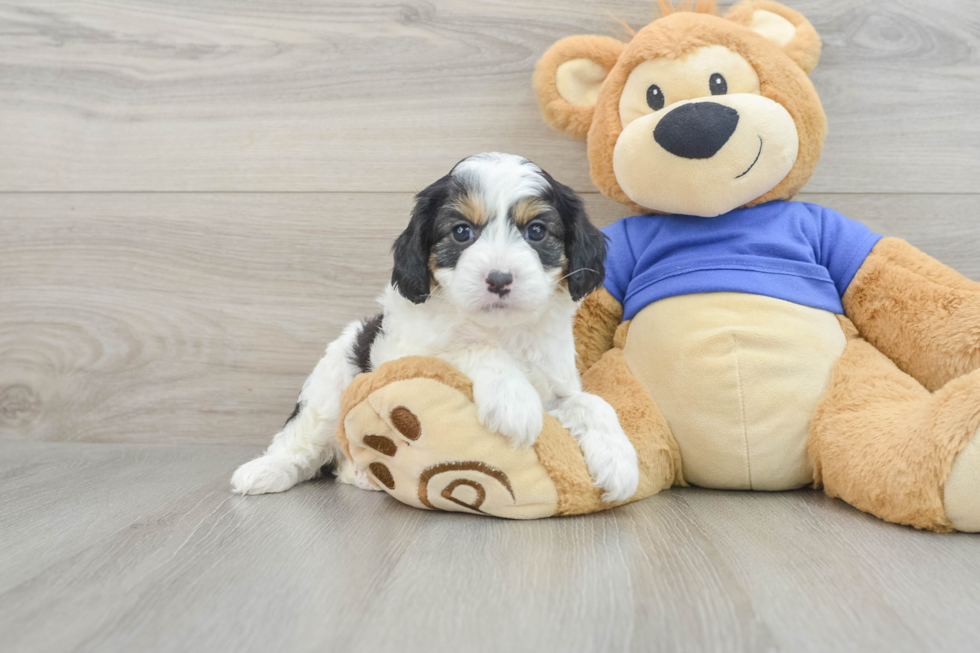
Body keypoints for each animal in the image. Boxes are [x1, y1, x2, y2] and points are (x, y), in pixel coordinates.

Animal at [233, 152, 640, 500]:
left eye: (537, 231)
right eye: (461, 232)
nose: (499, 279)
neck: (500, 328)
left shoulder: (557, 386)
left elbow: (591, 402)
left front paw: (619, 459)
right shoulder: (402, 355)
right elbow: (467, 345)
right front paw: (513, 398)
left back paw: (364, 475)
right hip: (329, 387)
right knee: (303, 442)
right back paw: (264, 471)